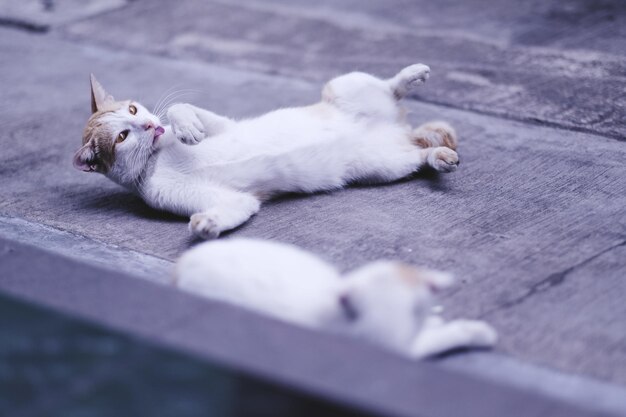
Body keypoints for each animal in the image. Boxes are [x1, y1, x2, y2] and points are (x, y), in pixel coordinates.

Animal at [75, 62, 458, 237]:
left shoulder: (223, 124)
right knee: (417, 154)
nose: (147, 125)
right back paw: (438, 157)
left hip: (344, 86)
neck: (155, 160)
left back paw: (411, 76)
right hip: (382, 167)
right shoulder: (230, 199)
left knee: (390, 89)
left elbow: (182, 108)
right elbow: (232, 208)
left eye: (133, 110)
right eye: (123, 136)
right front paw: (208, 224)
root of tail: (399, 127)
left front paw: (186, 128)